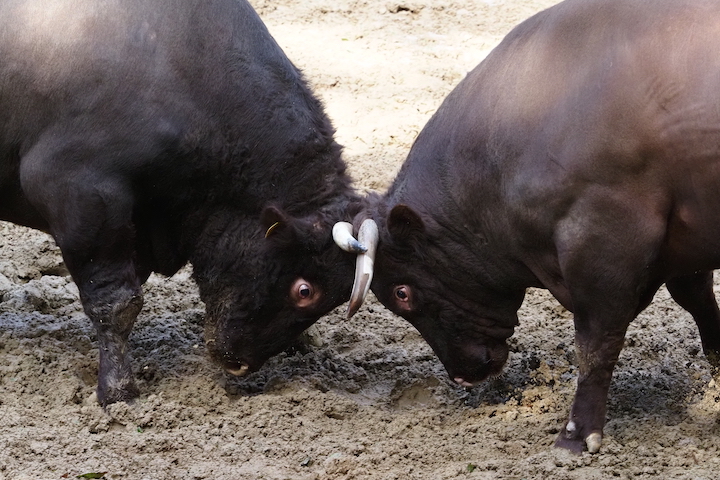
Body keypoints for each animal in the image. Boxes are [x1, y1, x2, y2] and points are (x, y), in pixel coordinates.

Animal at [348, 0, 720, 454]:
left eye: (403, 293)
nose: (461, 376)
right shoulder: (684, 247)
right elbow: (700, 305)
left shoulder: (602, 242)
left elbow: (596, 342)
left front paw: (576, 435)